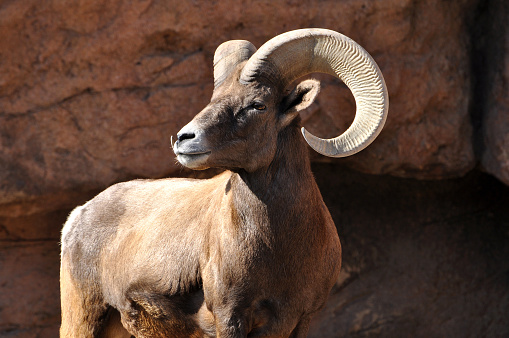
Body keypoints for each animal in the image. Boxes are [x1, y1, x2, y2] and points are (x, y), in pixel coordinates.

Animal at [60, 27, 384, 336]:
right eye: (214, 99)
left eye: (258, 105)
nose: (184, 138)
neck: (280, 250)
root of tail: (77, 216)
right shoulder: (230, 317)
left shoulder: (300, 320)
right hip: (83, 319)